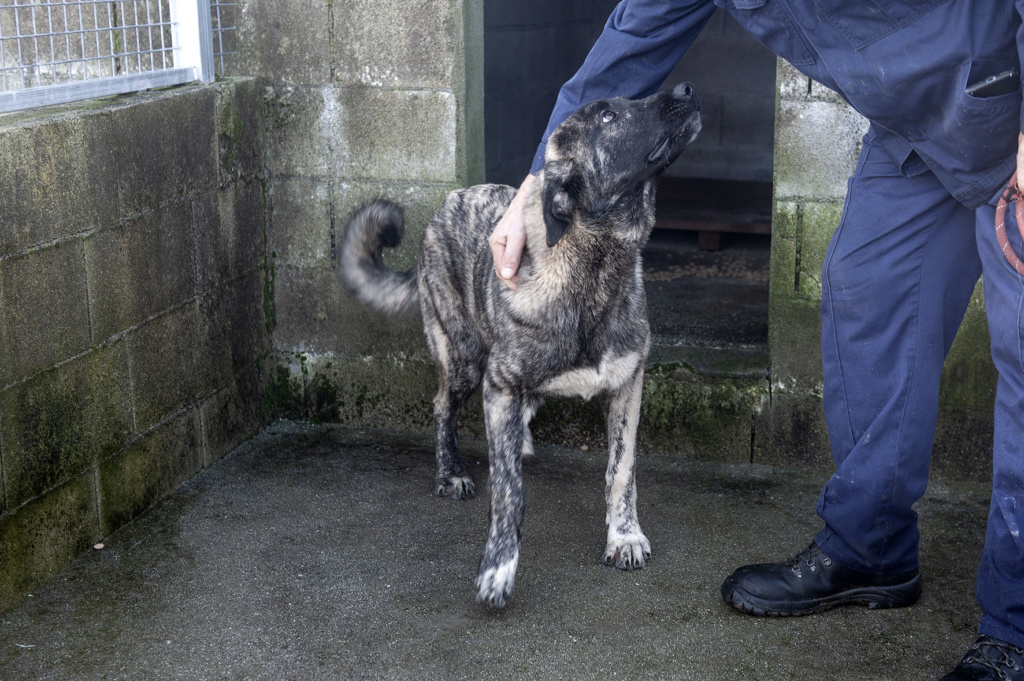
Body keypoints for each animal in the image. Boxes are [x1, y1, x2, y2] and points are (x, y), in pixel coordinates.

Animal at [339, 82, 700, 606]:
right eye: (608, 116)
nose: (687, 89)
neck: (594, 269)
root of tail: (449, 201)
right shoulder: (501, 388)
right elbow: (510, 489)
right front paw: (499, 567)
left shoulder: (627, 385)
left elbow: (622, 470)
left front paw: (624, 535)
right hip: (463, 357)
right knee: (442, 405)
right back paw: (450, 472)